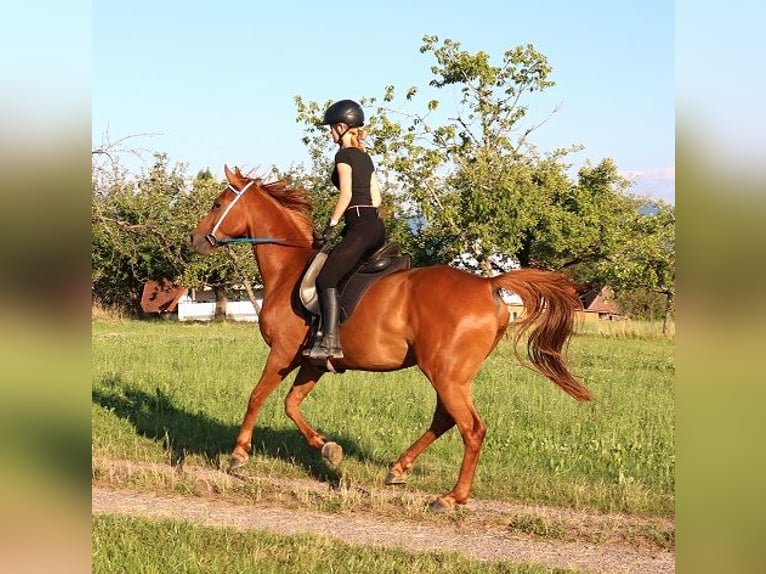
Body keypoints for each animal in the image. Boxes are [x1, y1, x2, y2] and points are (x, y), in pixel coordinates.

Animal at [189, 165, 593, 511]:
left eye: (218, 204)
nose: (194, 239)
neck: (290, 270)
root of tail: (488, 285)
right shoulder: (313, 361)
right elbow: (291, 404)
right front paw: (327, 448)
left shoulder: (283, 353)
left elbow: (257, 396)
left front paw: (239, 455)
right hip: (452, 375)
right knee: (445, 420)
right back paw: (398, 469)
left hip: (445, 373)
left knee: (471, 428)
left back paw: (452, 497)